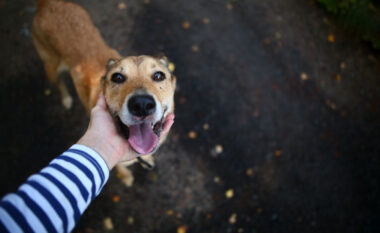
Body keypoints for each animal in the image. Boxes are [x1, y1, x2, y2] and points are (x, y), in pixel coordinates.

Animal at [31, 0, 177, 186]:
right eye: (117, 77)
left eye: (159, 76)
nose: (142, 105)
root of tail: (47, 3)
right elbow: (122, 170)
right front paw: (127, 178)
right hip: (51, 67)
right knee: (59, 82)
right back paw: (66, 98)